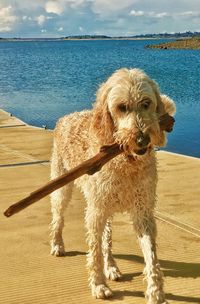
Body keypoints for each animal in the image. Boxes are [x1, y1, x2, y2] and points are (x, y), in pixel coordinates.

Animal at [49, 69, 175, 304]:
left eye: (146, 103)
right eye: (121, 107)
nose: (142, 139)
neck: (126, 162)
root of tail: (65, 117)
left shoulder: (143, 212)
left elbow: (151, 255)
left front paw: (155, 291)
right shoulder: (95, 212)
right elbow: (94, 252)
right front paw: (99, 285)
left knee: (107, 238)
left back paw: (112, 267)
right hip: (63, 189)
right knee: (58, 219)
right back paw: (57, 244)